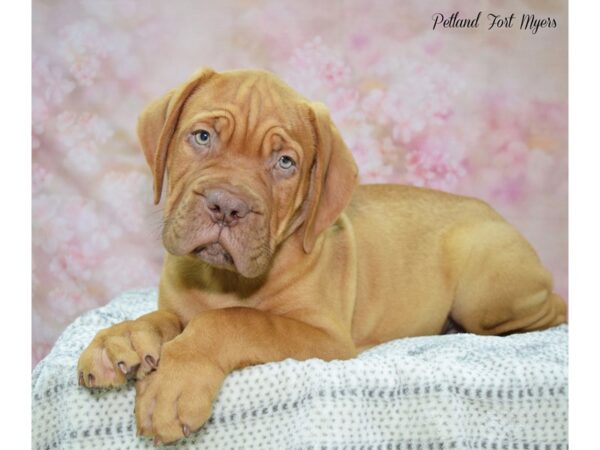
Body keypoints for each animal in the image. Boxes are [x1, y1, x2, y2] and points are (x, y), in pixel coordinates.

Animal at [78, 67, 568, 442]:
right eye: (201, 137)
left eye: (285, 163)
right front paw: (121, 339)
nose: (226, 206)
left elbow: (233, 321)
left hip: (483, 291)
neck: (223, 279)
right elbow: (164, 318)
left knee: (549, 309)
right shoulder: (180, 305)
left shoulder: (324, 337)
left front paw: (173, 385)